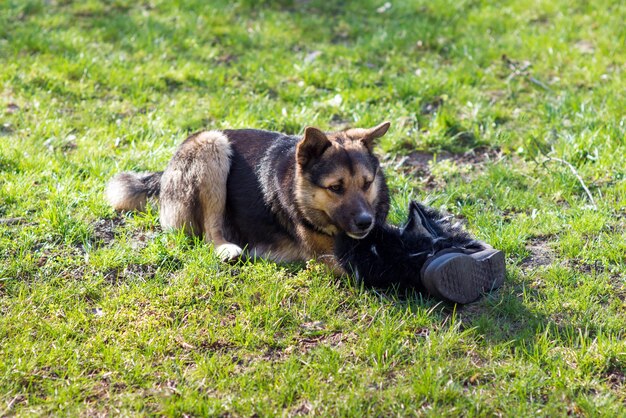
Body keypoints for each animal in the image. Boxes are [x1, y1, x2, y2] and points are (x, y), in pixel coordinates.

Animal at [106, 122, 390, 270]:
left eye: (367, 183)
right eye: (336, 188)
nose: (365, 222)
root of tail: (164, 173)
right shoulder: (329, 258)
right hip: (211, 146)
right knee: (210, 232)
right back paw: (226, 249)